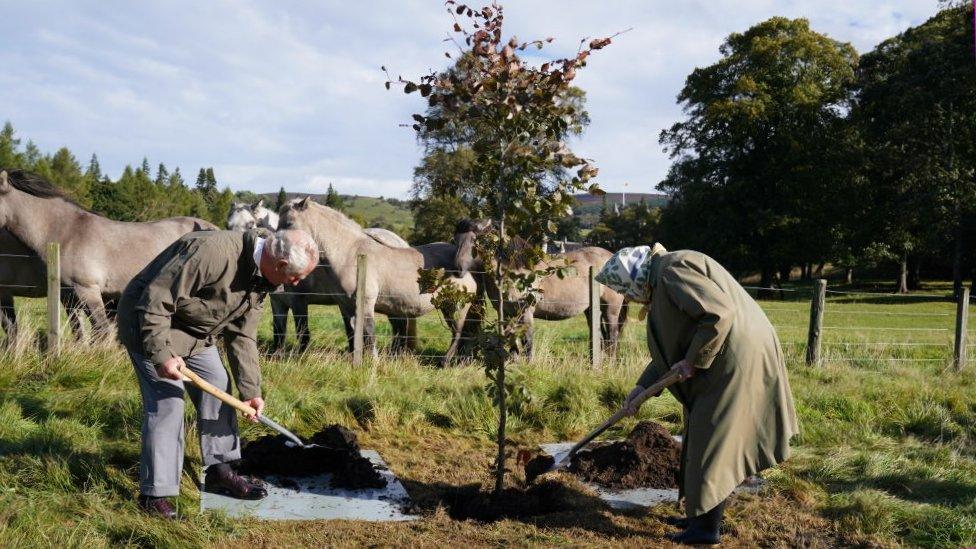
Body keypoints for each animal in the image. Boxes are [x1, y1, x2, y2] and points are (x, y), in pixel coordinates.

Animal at [278, 198, 476, 364]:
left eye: (288, 223)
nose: (279, 255)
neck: (350, 253)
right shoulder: (346, 306)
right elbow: (354, 335)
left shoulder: (366, 303)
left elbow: (369, 334)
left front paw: (374, 362)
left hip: (456, 307)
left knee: (458, 333)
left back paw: (445, 362)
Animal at [454, 218, 628, 356]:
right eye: (455, 239)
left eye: (476, 240)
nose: (457, 269)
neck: (516, 272)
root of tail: (612, 257)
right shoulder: (507, 314)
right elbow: (513, 344)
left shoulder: (525, 314)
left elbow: (528, 344)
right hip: (591, 310)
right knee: (599, 337)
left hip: (611, 309)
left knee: (612, 337)